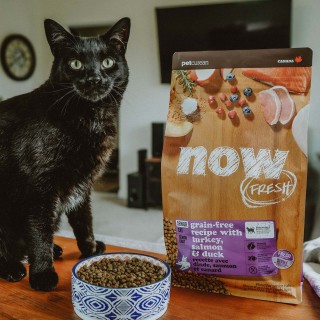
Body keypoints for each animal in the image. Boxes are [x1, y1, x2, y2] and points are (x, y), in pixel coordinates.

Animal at [0, 18, 131, 292]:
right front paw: (42, 275)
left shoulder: (82, 184)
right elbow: (39, 231)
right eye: (75, 63)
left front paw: (90, 248)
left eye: (107, 62)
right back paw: (13, 267)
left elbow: (84, 220)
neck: (90, 119)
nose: (94, 78)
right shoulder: (40, 187)